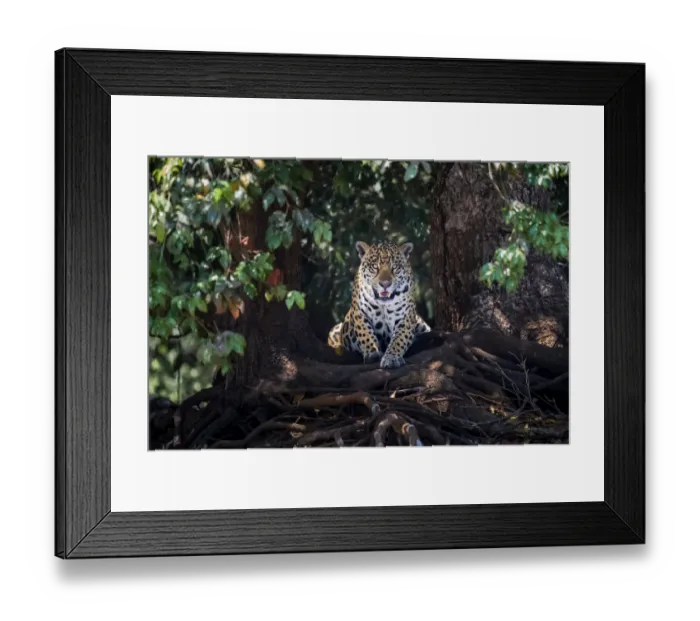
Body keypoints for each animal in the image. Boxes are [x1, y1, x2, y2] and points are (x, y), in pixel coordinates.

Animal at [327, 240, 431, 369]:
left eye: (394, 268)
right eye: (375, 267)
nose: (385, 284)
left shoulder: (406, 317)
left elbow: (399, 339)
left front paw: (391, 358)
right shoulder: (359, 312)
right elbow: (365, 333)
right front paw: (373, 352)